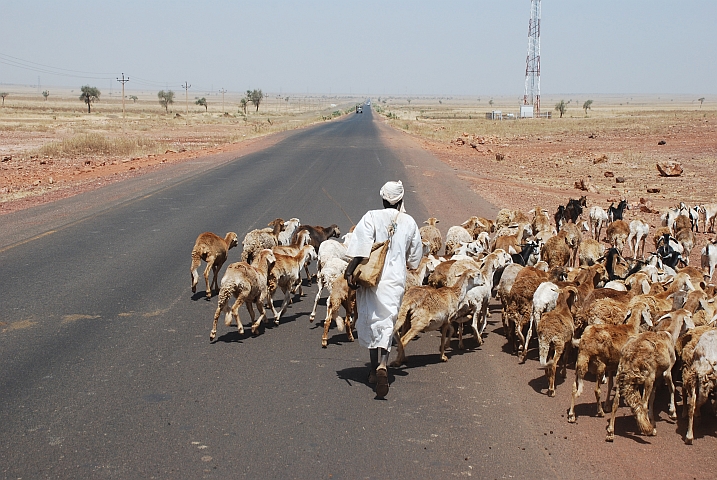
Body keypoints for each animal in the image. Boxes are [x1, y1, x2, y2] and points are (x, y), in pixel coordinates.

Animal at [606, 309, 695, 441]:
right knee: (643, 403)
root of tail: (631, 356)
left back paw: (611, 432)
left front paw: (653, 419)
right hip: (648, 377)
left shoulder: (657, 377)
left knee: (616, 402)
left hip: (621, 373)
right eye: (690, 316)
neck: (670, 335)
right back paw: (649, 430)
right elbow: (672, 388)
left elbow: (653, 398)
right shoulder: (666, 371)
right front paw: (672, 413)